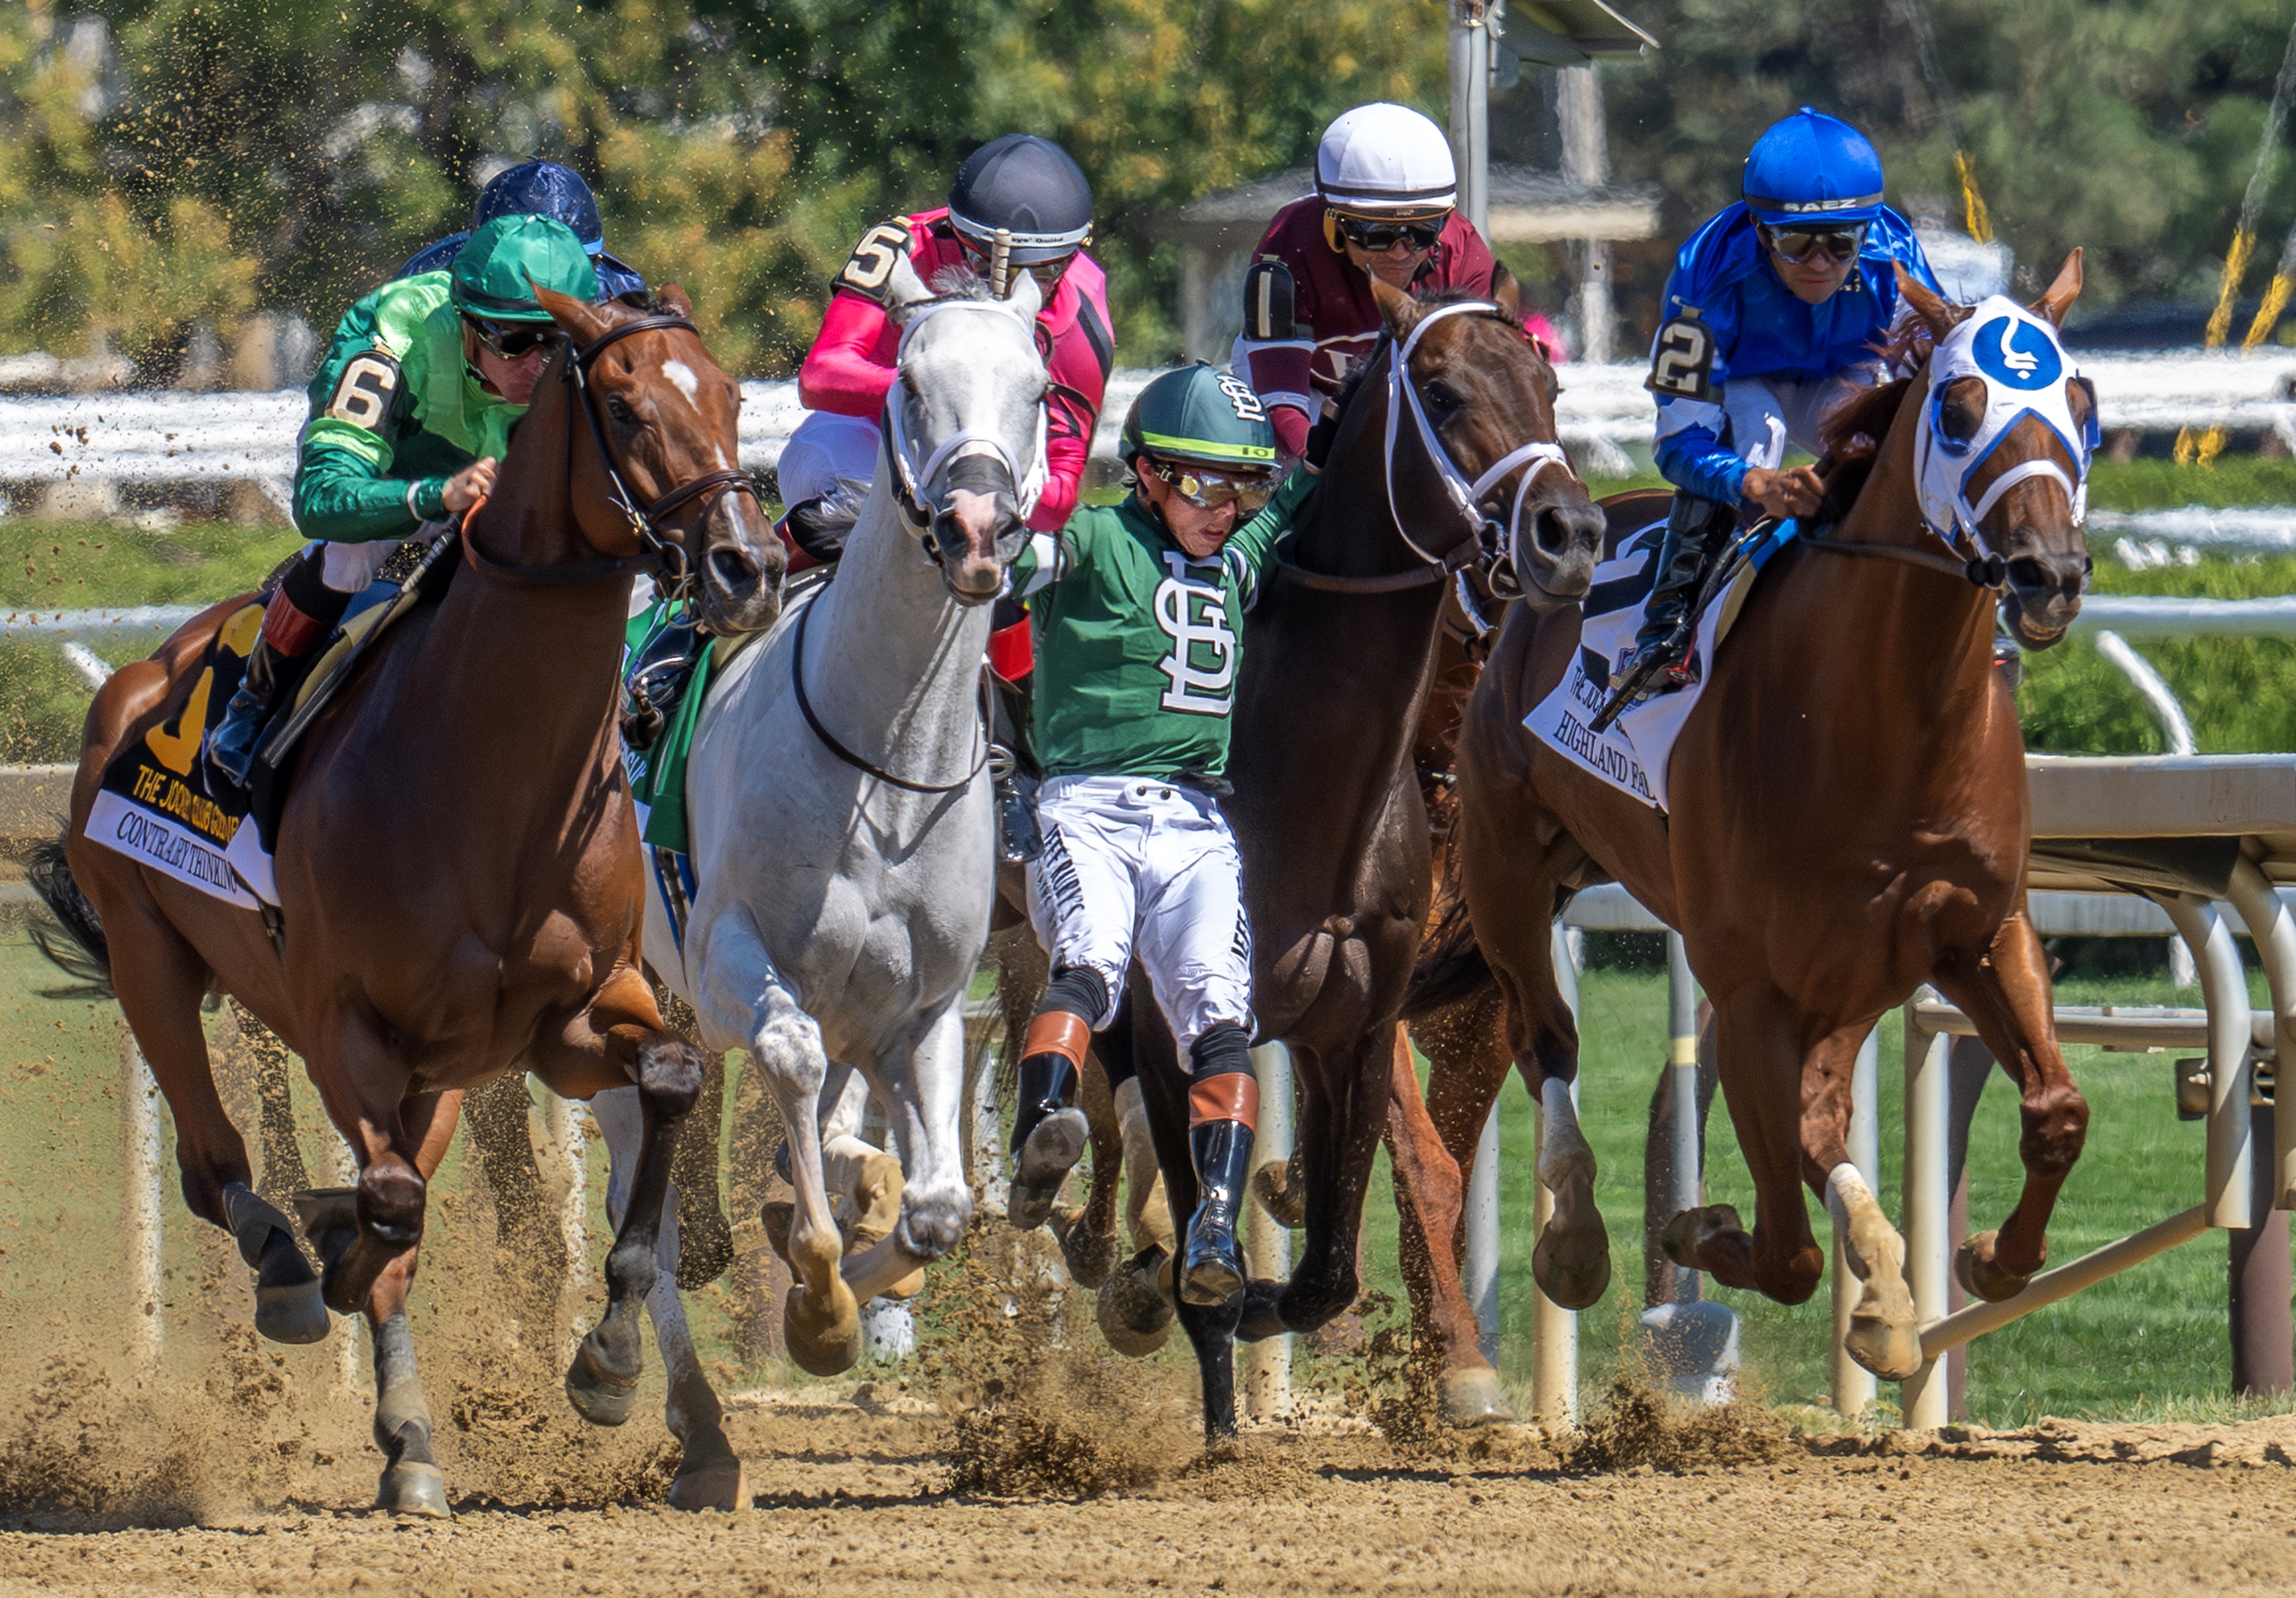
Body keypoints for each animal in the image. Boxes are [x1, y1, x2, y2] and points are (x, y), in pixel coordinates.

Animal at [30, 284, 784, 1516]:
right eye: (626, 407)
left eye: (730, 395)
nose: (748, 565)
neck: (487, 773)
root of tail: (141, 677)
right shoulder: (345, 1025)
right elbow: (385, 1204)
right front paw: (334, 1267)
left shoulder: (571, 1015)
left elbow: (667, 1081)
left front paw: (609, 1359)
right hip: (152, 958)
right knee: (215, 1163)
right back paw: (297, 1279)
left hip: (440, 1069)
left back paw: (407, 1414)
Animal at [613, 257, 1046, 1388]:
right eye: (909, 384)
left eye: (1039, 391)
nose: (977, 529)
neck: (883, 760)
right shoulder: (727, 961)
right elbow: (794, 1062)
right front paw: (818, 1299)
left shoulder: (926, 1003)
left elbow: (939, 1205)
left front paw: (856, 1282)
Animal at [1109, 272, 1607, 1438]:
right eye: (1444, 388)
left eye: (1550, 385)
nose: (1570, 530)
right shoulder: (1180, 1018)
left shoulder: (1373, 1014)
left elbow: (1347, 1243)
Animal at [1431, 257, 2095, 1384]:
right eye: (1961, 409)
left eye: (2082, 406)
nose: (2049, 572)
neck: (1883, 719)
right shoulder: (1746, 988)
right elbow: (1783, 1248)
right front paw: (1698, 1229)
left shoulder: (1977, 930)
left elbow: (2057, 1110)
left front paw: (1989, 1257)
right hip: (1506, 866)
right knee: (1544, 1035)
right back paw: (1577, 1238)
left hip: (1851, 975)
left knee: (1822, 1120)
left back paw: (1885, 1289)